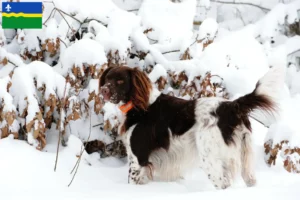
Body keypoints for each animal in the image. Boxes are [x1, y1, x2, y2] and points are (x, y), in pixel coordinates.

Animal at [99, 65, 284, 189]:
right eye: (107, 78)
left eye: (120, 81)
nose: (104, 91)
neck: (140, 106)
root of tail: (231, 106)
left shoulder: (138, 159)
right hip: (245, 158)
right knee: (250, 180)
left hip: (209, 158)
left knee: (223, 184)